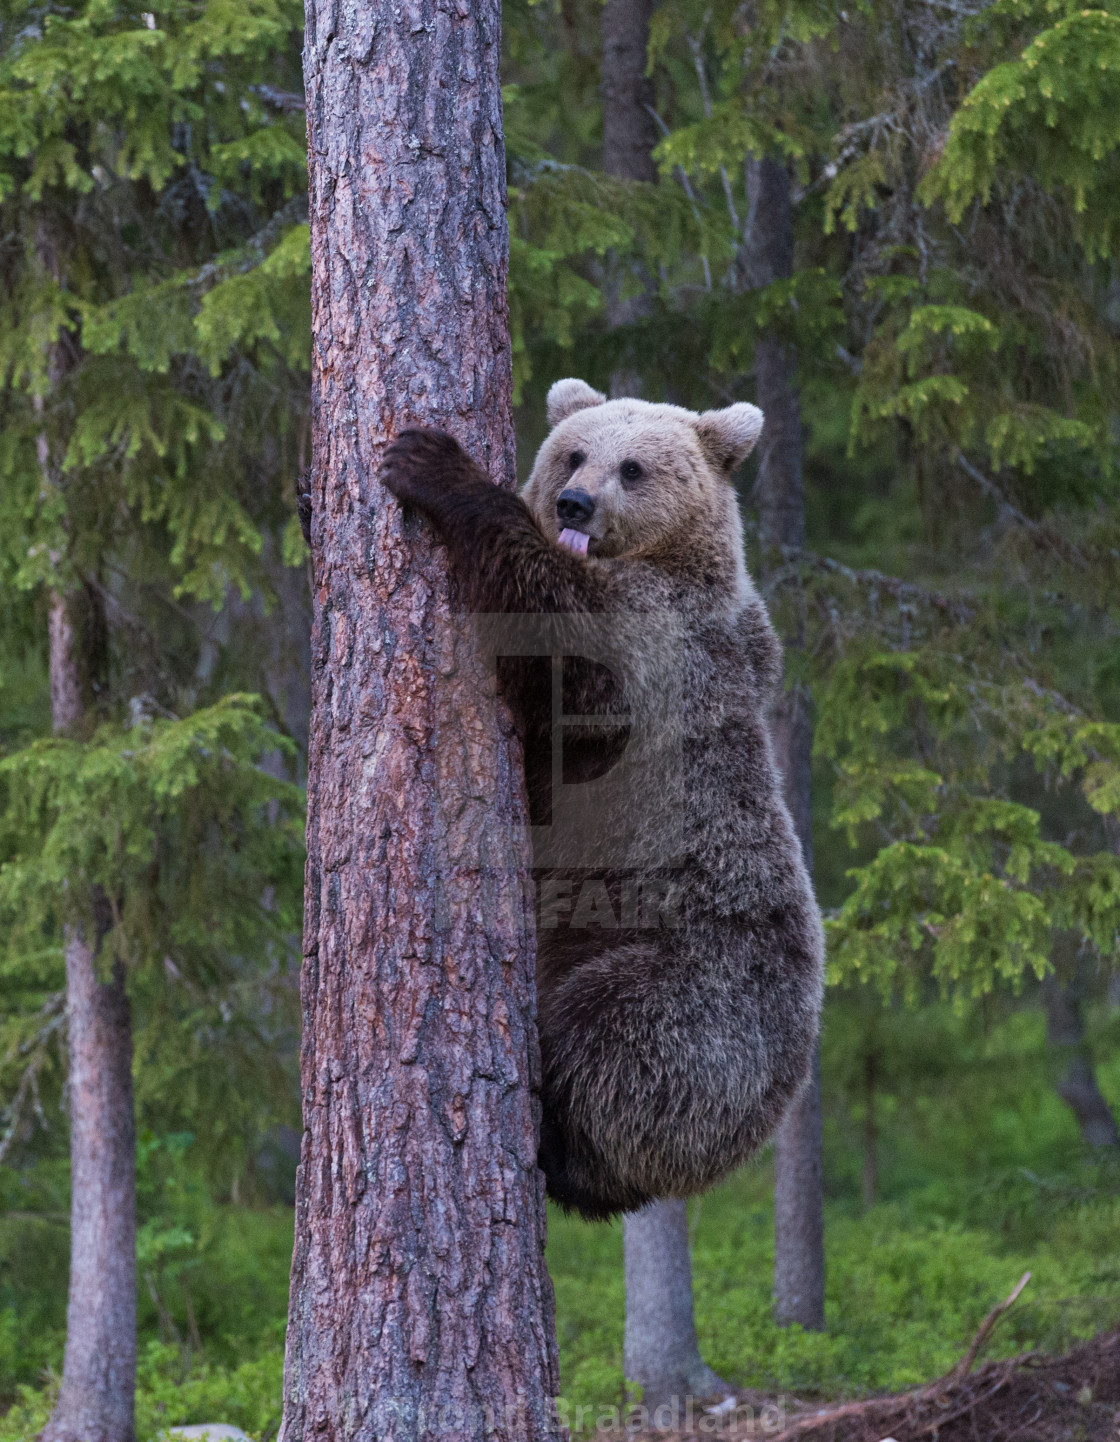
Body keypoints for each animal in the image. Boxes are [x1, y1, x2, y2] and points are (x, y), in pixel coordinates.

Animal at [380, 374, 824, 1217]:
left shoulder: (657, 643)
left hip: (685, 991)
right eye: (575, 453)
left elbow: (558, 638)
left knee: (611, 1044)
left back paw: (558, 1144)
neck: (668, 558)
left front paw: (433, 465)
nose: (574, 503)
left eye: (634, 468)